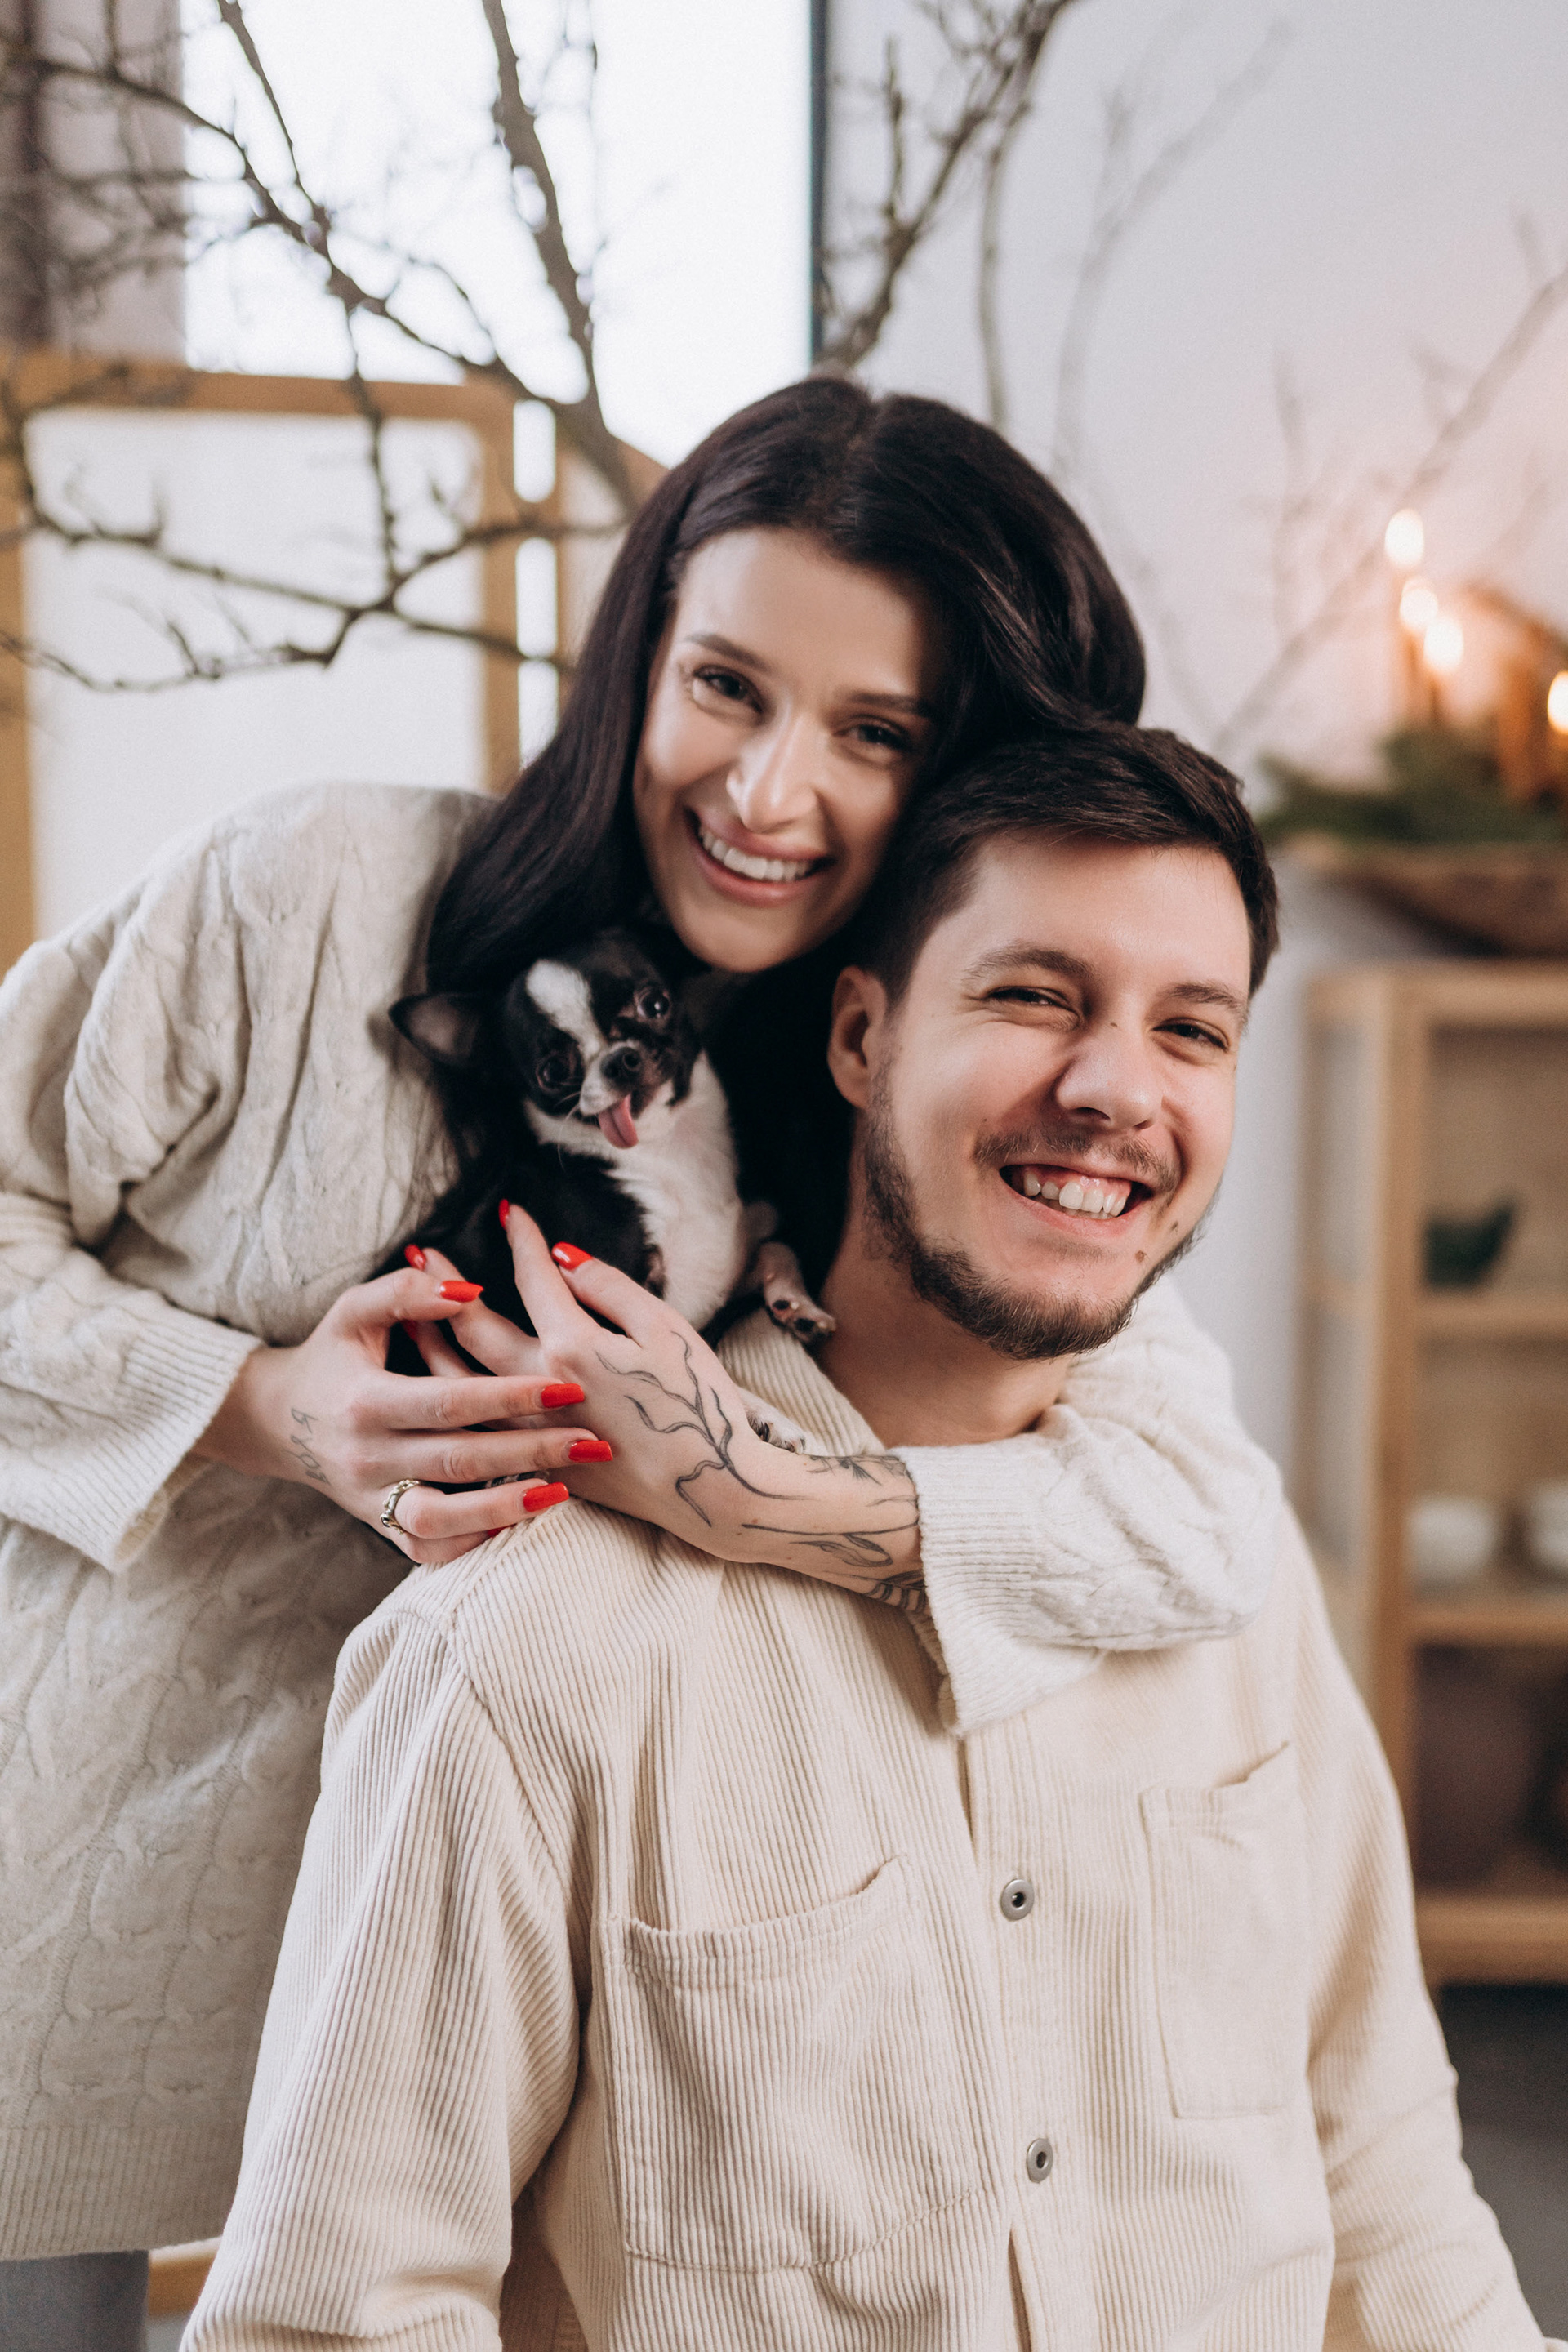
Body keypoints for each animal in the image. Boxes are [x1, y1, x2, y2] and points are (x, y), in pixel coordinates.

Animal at [388, 928, 833, 1394]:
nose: (619, 1059)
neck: (667, 1150)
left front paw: (797, 1303)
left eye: (655, 1005)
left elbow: (777, 1247)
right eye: (552, 1071)